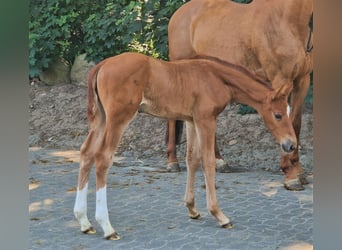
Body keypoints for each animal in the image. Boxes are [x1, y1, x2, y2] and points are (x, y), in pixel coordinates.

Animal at [73, 51, 296, 239]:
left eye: (288, 110)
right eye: (278, 115)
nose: (291, 145)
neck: (215, 77)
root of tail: (102, 65)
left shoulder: (191, 120)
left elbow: (192, 159)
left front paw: (192, 208)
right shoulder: (206, 119)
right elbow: (208, 162)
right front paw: (219, 215)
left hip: (101, 119)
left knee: (86, 153)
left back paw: (84, 221)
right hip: (118, 118)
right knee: (103, 157)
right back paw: (107, 227)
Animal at [167, 0, 314, 191]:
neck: (287, 20)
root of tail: (178, 14)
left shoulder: (302, 81)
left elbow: (295, 123)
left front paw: (298, 172)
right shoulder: (280, 80)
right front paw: (290, 175)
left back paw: (219, 161)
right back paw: (172, 162)